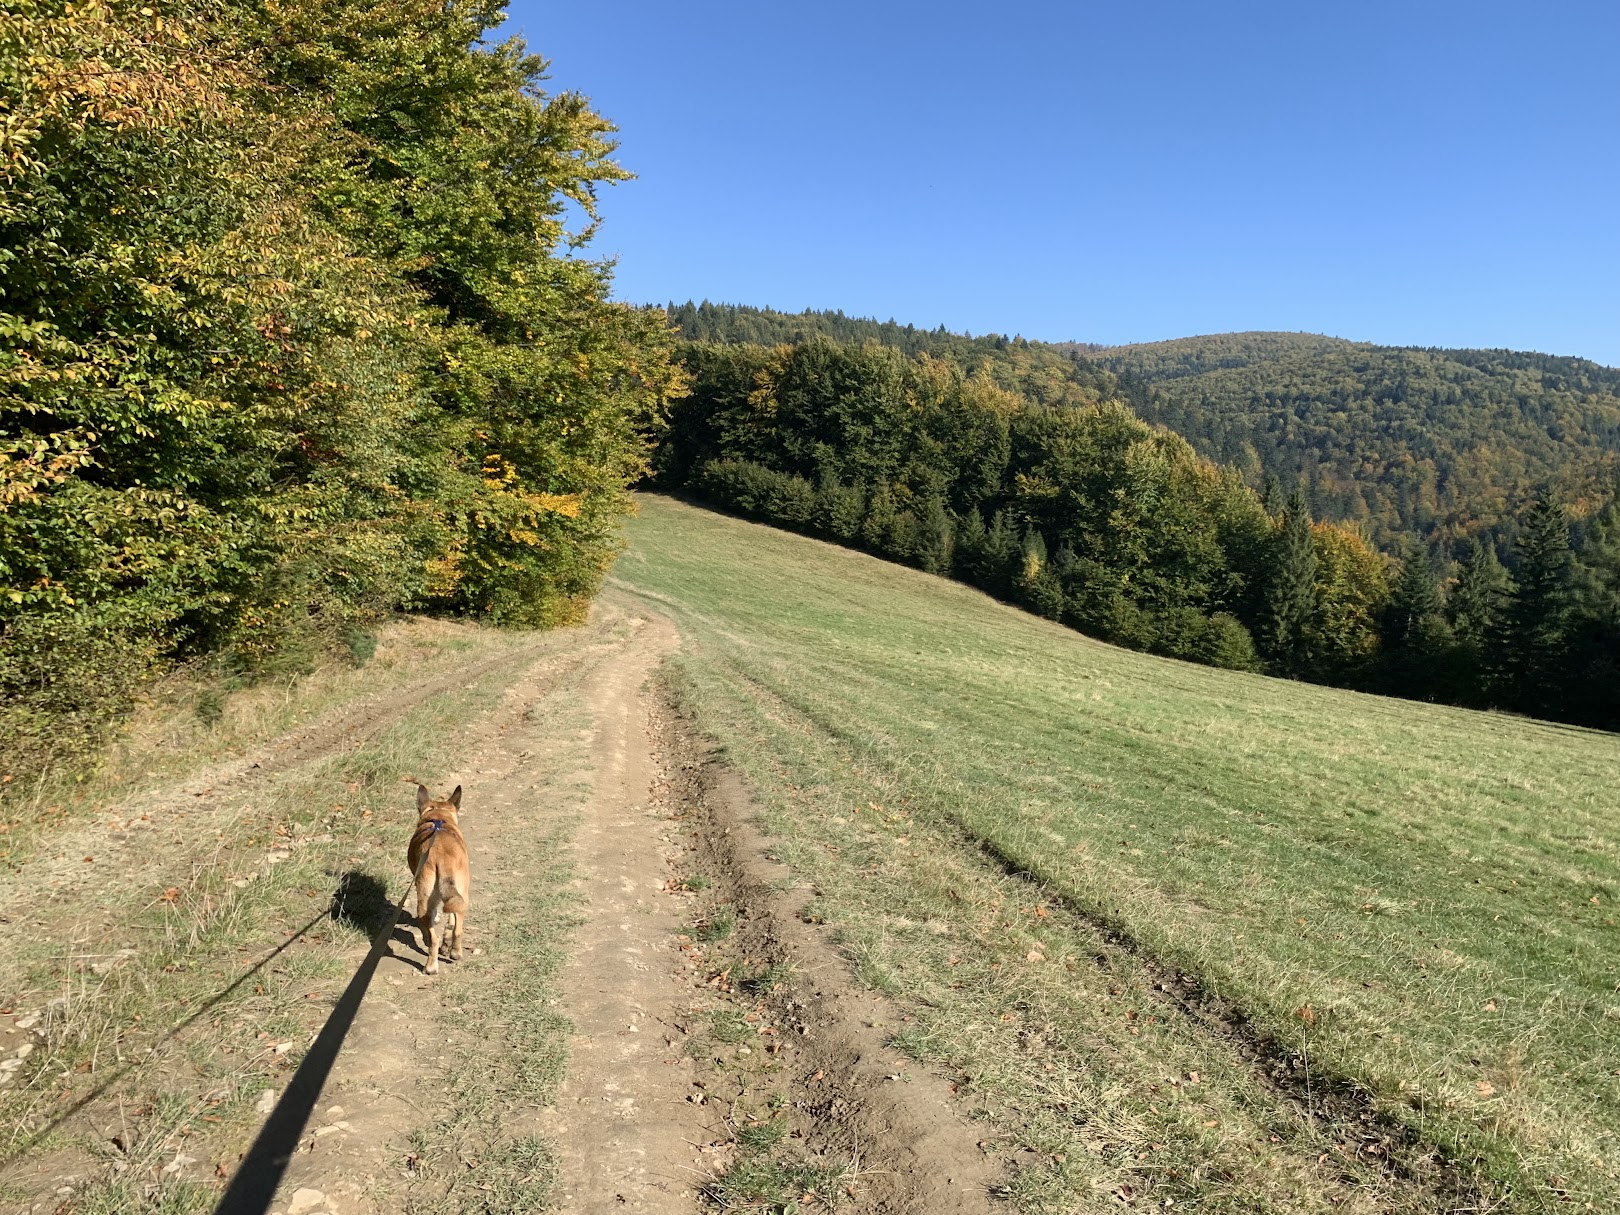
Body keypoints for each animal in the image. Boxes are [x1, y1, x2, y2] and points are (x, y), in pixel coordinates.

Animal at [405, 790, 469, 978]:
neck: (438, 817)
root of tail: (440, 854)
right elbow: (451, 921)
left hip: (424, 899)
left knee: (433, 936)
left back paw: (431, 966)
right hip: (462, 893)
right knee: (457, 928)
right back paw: (454, 952)